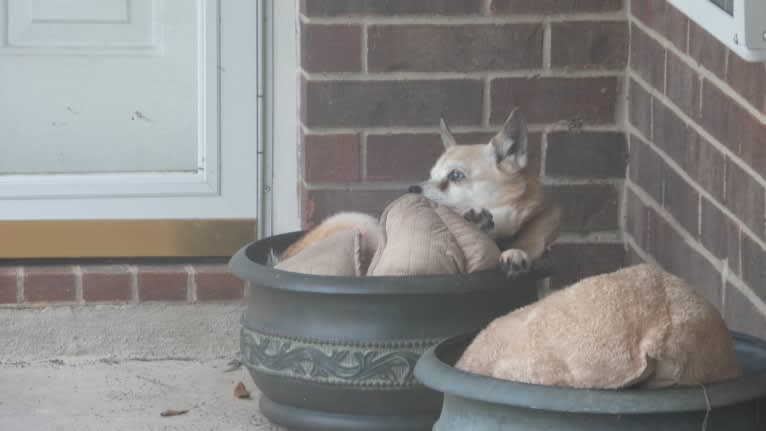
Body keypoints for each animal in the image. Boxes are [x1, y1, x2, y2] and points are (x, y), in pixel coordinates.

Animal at [280, 108, 560, 276]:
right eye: (431, 175)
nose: (412, 188)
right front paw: (479, 221)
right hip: (363, 222)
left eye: (455, 176)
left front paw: (515, 251)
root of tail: (282, 257)